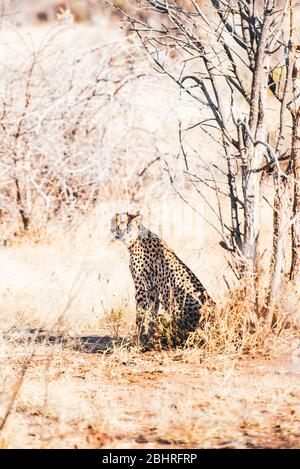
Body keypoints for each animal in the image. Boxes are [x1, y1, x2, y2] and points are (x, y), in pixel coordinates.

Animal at [110, 212, 213, 348]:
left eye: (121, 222)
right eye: (114, 220)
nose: (113, 230)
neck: (135, 239)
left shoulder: (141, 287)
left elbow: (140, 315)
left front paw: (138, 340)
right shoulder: (153, 290)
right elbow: (152, 313)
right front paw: (149, 337)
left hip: (174, 294)